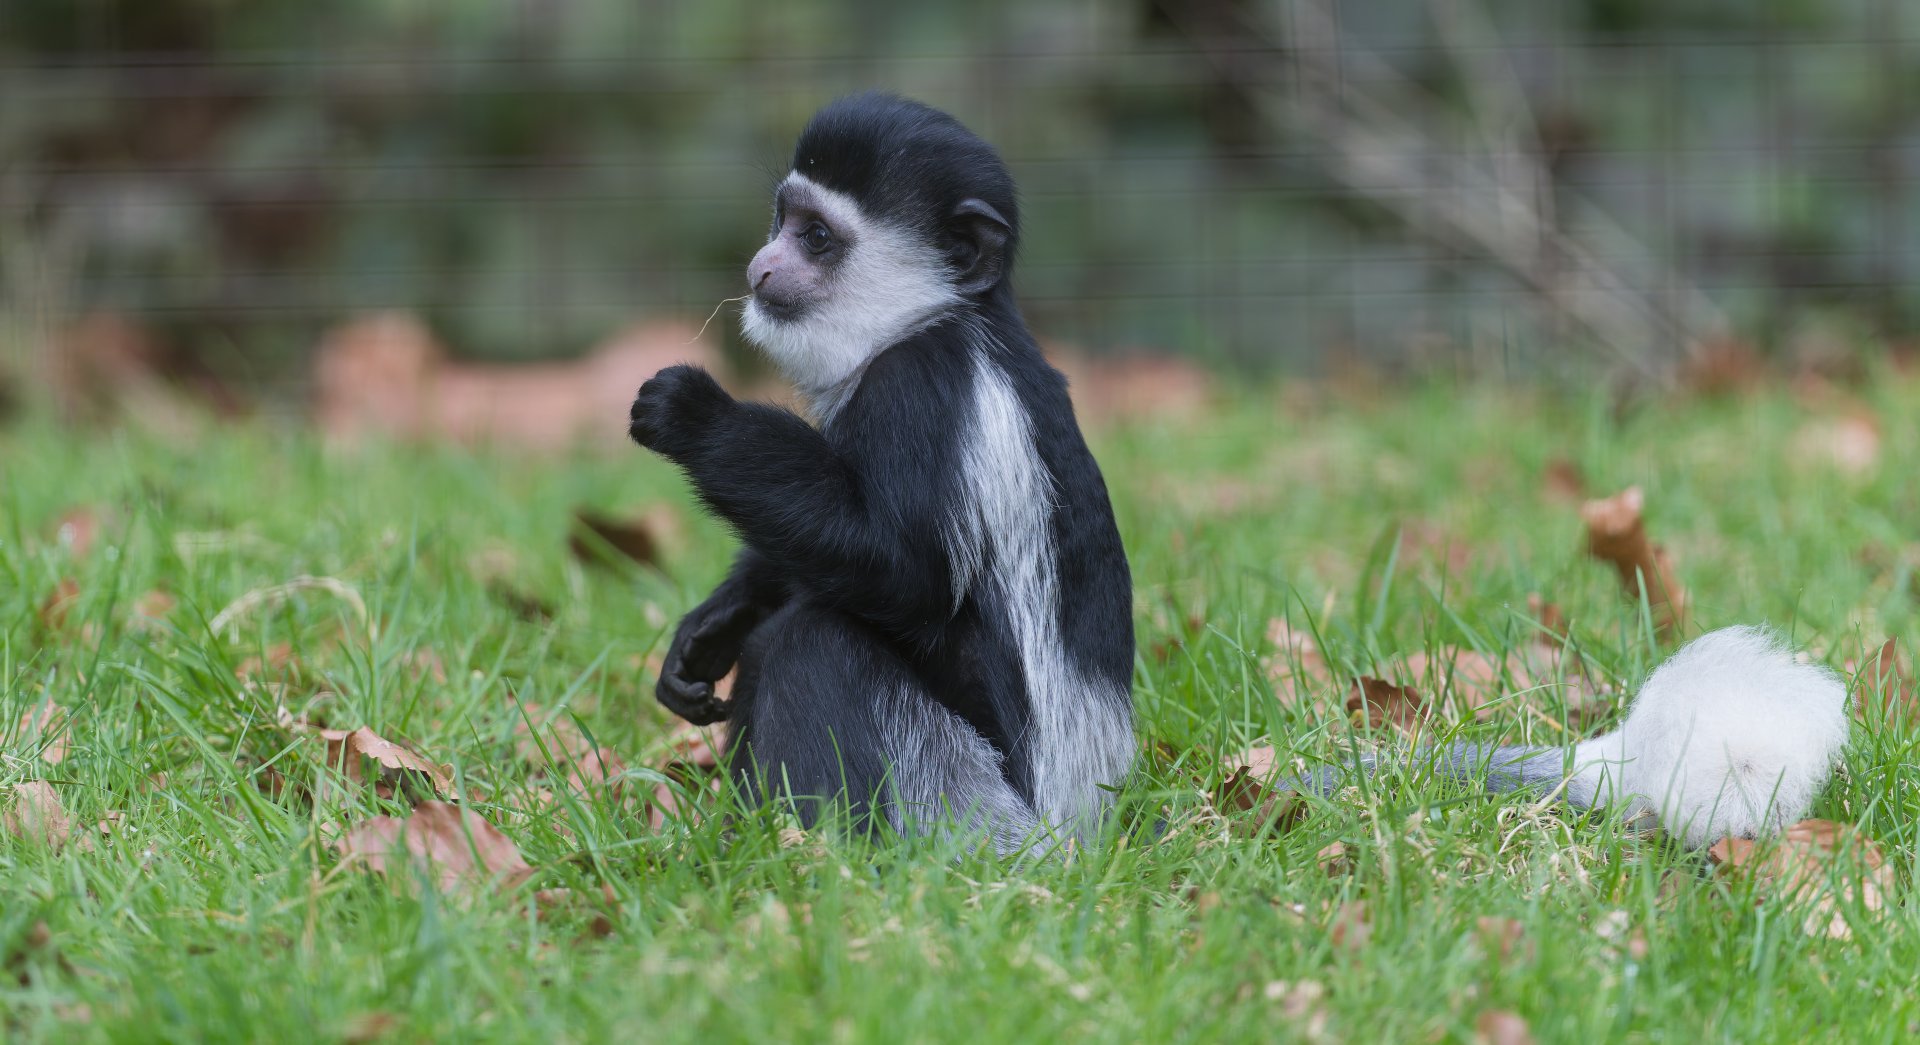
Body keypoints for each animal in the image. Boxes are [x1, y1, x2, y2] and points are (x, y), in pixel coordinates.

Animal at [629, 93, 1134, 853]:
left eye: (816, 237)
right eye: (784, 217)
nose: (760, 267)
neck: (939, 316)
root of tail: (1076, 825)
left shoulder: (919, 390)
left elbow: (901, 570)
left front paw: (694, 414)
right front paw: (709, 627)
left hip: (959, 792)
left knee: (816, 642)